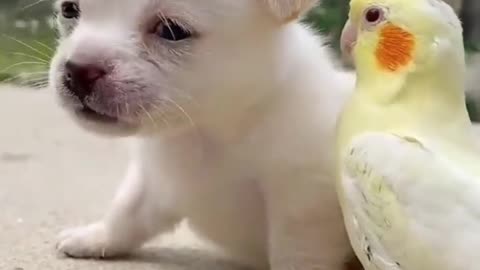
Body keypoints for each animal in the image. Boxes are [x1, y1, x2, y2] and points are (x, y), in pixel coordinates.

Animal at [48, 0, 356, 268]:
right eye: (69, 9)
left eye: (172, 31)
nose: (78, 70)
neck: (205, 129)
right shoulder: (154, 180)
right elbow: (125, 211)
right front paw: (96, 237)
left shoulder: (304, 204)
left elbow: (295, 253)